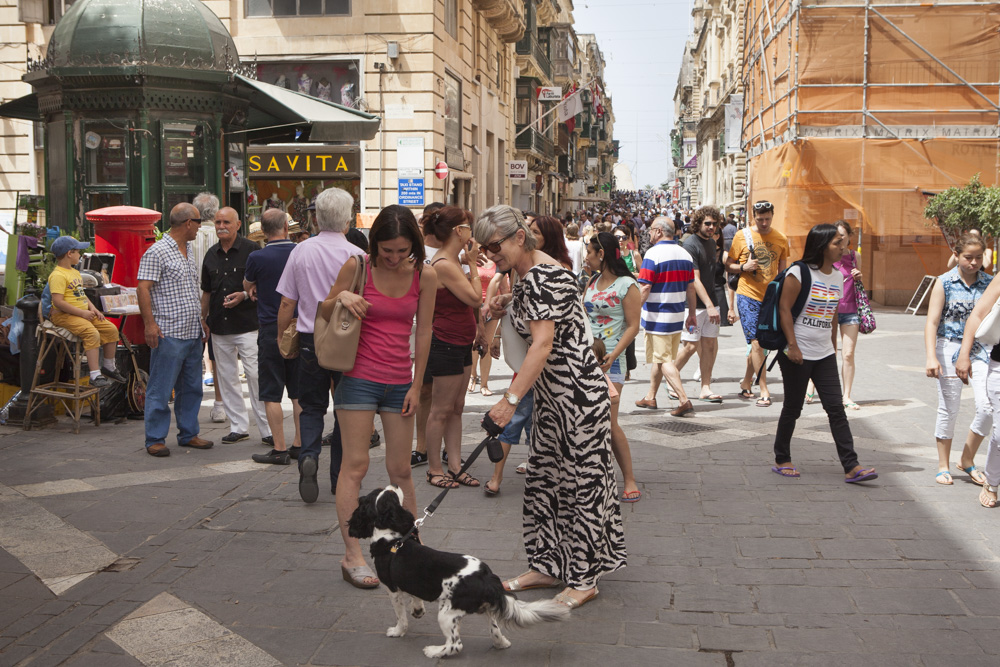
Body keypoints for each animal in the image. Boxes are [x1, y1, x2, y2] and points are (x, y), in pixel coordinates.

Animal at [350, 482, 572, 660]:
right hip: (485, 610)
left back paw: (433, 651)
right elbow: (415, 596)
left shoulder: (392, 588)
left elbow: (400, 616)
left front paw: (397, 631)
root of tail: (487, 579)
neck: (392, 538)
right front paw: (418, 610)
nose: (394, 484)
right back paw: (501, 644)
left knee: (455, 645)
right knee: (496, 632)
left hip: (447, 614)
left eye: (391, 494)